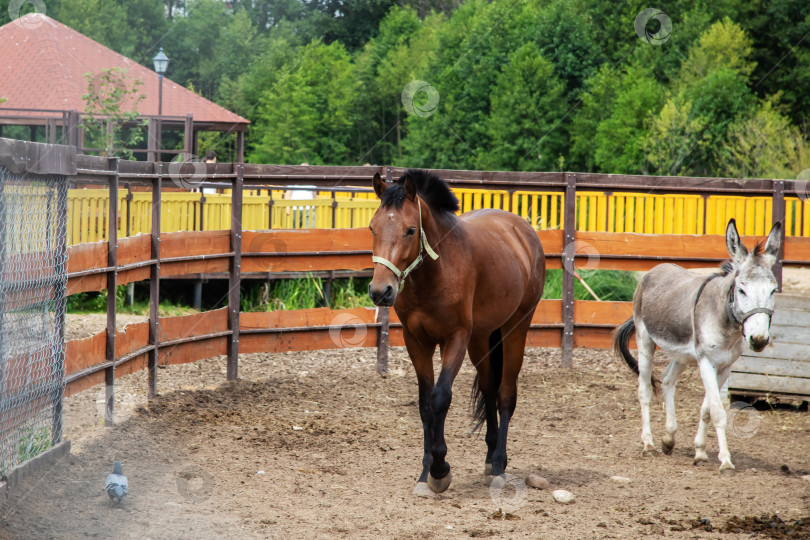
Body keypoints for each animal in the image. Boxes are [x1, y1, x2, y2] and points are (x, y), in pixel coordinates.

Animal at [366, 171, 544, 496]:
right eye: (373, 227)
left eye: (411, 230)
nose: (380, 291)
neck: (436, 272)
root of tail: (522, 230)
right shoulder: (416, 342)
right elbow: (425, 403)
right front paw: (425, 473)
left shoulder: (456, 338)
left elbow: (440, 397)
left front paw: (440, 470)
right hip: (481, 338)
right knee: (489, 388)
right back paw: (489, 457)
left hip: (515, 328)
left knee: (505, 394)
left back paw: (498, 465)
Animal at [616, 219, 780, 472]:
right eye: (741, 289)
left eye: (773, 290)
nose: (759, 339)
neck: (725, 322)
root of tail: (656, 269)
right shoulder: (706, 362)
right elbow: (718, 412)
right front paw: (725, 461)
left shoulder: (724, 367)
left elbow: (706, 409)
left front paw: (701, 452)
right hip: (645, 342)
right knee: (644, 391)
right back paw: (649, 444)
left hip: (682, 355)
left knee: (667, 380)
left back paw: (668, 439)